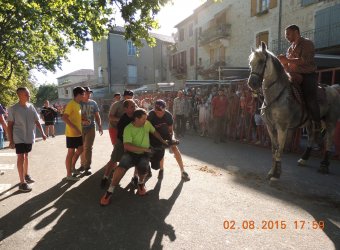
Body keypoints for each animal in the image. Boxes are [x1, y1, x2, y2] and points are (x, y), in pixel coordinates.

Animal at [247, 41, 340, 180]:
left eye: (261, 61)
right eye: (250, 63)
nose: (252, 83)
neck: (277, 96)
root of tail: (333, 88)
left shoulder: (282, 127)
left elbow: (279, 149)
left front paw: (276, 174)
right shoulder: (270, 126)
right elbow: (274, 149)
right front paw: (272, 171)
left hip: (331, 122)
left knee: (329, 142)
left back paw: (324, 165)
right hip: (310, 123)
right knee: (311, 138)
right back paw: (304, 159)